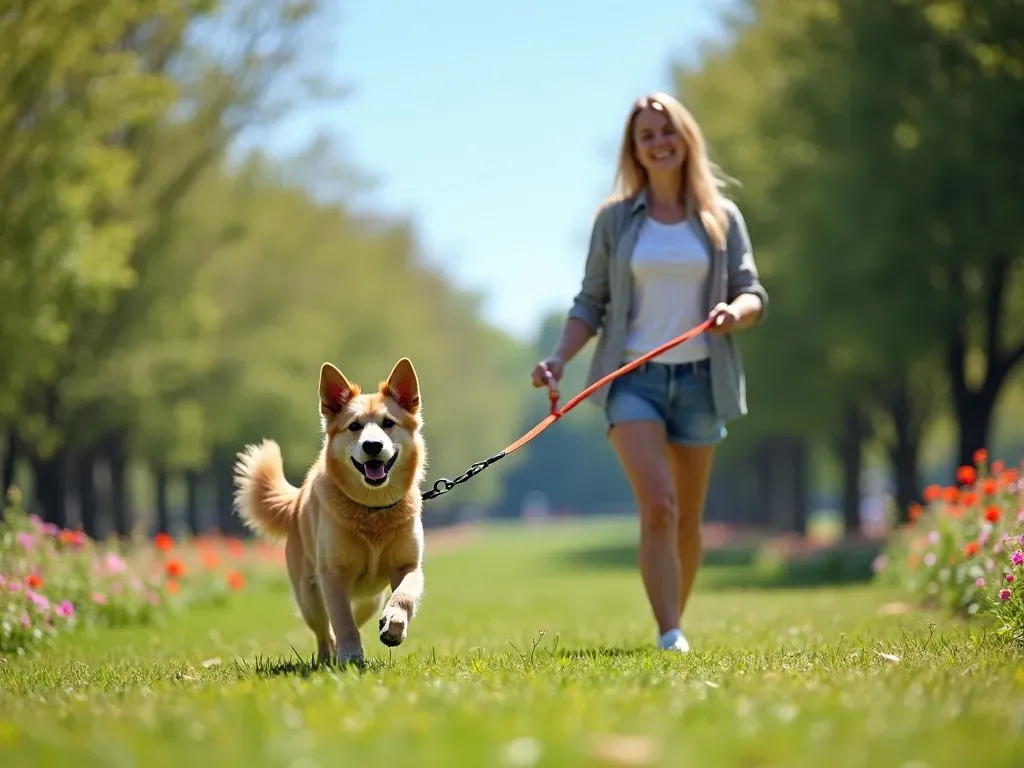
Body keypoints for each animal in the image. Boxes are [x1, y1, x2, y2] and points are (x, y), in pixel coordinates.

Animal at [233, 360, 428, 667]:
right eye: (354, 426)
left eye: (388, 423)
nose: (372, 445)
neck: (372, 509)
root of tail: (296, 501)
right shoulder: (332, 576)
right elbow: (342, 621)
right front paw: (350, 654)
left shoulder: (408, 565)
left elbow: (404, 595)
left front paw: (394, 624)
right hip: (309, 596)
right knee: (325, 631)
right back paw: (328, 658)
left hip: (370, 599)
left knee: (358, 615)